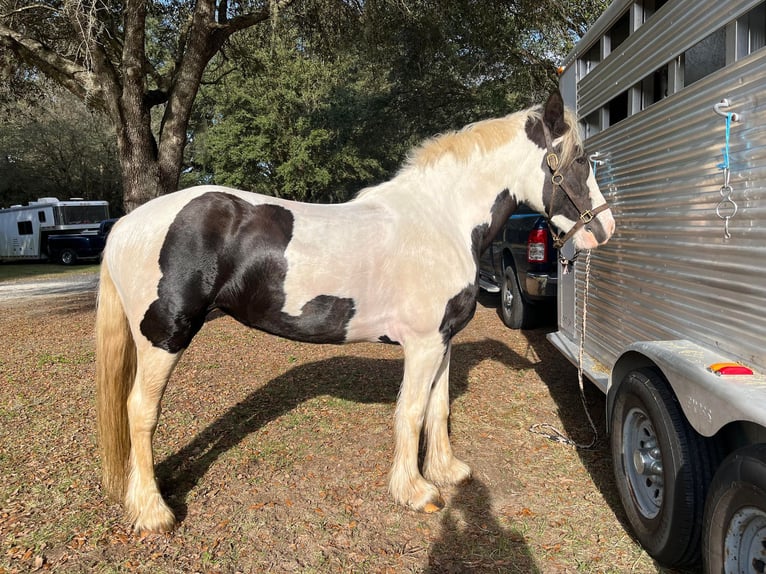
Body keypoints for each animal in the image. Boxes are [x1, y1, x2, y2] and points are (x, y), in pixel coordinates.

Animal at [96, 91, 616, 536]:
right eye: (580, 160)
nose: (606, 228)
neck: (441, 221)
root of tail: (126, 224)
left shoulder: (443, 341)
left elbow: (439, 408)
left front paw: (448, 472)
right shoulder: (423, 345)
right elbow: (411, 411)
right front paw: (416, 492)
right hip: (165, 336)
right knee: (140, 411)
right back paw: (153, 512)